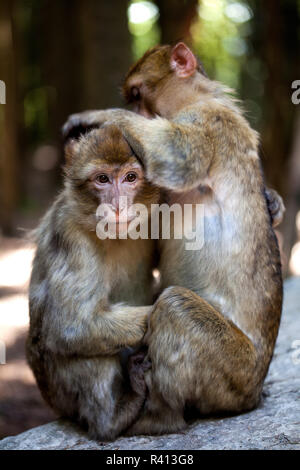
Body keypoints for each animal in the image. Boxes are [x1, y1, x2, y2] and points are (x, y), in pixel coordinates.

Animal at [27, 125, 161, 440]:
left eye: (130, 178)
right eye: (102, 179)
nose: (117, 206)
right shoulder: (70, 232)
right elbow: (70, 326)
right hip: (59, 391)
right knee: (87, 345)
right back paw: (113, 417)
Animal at [63, 42, 284, 436]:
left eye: (137, 95)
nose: (135, 111)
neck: (200, 97)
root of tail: (255, 393)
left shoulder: (212, 121)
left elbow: (175, 158)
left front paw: (99, 117)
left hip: (235, 373)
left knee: (175, 306)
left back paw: (157, 418)